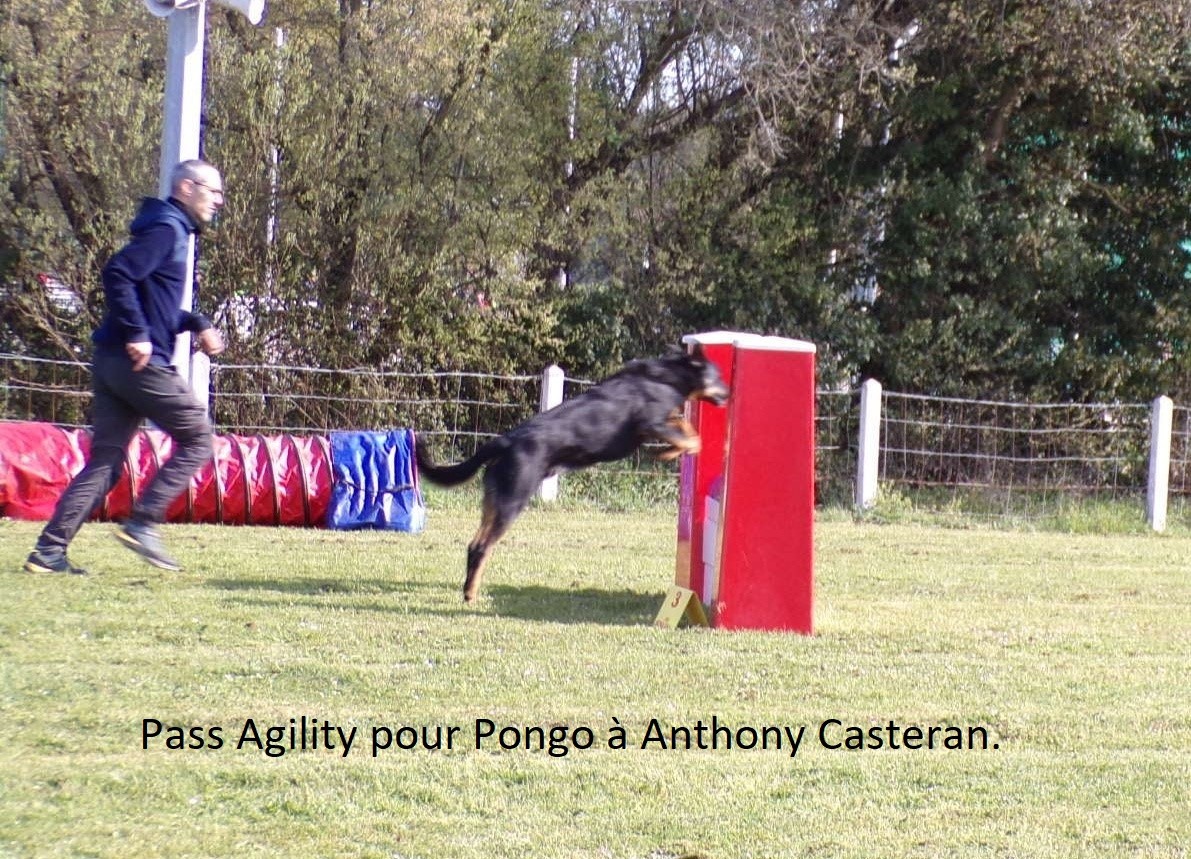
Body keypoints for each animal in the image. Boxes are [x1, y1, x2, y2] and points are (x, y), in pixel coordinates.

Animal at [419, 347, 733, 602]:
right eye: (718, 377)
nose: (730, 394)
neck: (666, 377)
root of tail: (507, 440)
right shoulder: (650, 423)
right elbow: (692, 439)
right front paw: (668, 453)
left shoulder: (663, 421)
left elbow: (686, 428)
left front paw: (670, 450)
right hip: (513, 500)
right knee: (483, 547)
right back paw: (471, 594)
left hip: (494, 502)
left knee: (474, 545)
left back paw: (469, 589)